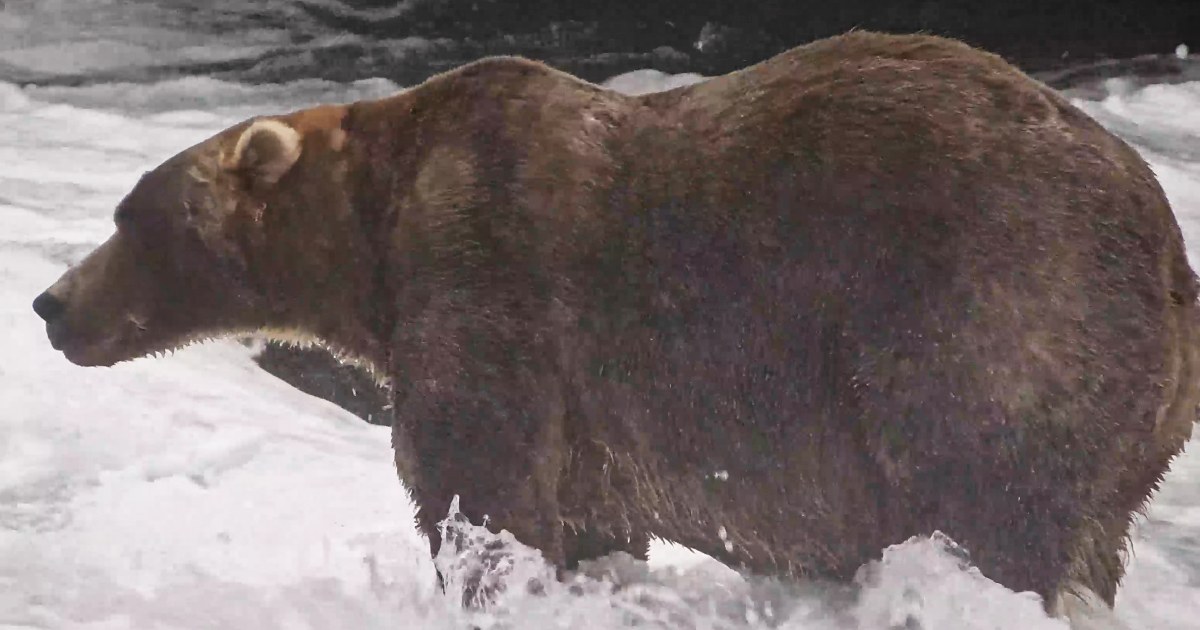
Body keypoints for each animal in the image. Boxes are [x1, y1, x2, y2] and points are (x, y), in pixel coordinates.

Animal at [32, 30, 1200, 616]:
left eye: (130, 215)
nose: (50, 303)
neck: (372, 237)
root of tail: (1167, 242)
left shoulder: (488, 277)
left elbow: (479, 485)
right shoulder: (589, 412)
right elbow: (585, 517)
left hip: (988, 305)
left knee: (989, 494)